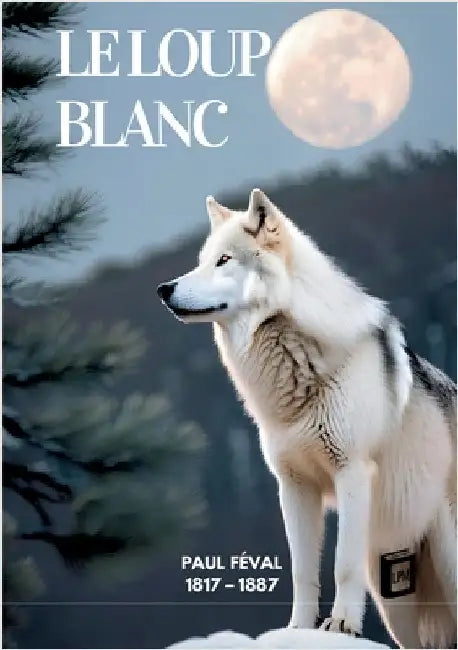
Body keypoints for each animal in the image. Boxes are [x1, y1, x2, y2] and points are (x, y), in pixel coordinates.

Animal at [157, 189, 457, 648]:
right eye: (202, 260)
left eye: (224, 260)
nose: (163, 288)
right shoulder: (294, 485)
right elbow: (302, 570)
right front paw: (297, 631)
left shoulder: (351, 473)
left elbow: (341, 565)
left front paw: (342, 626)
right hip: (397, 601)